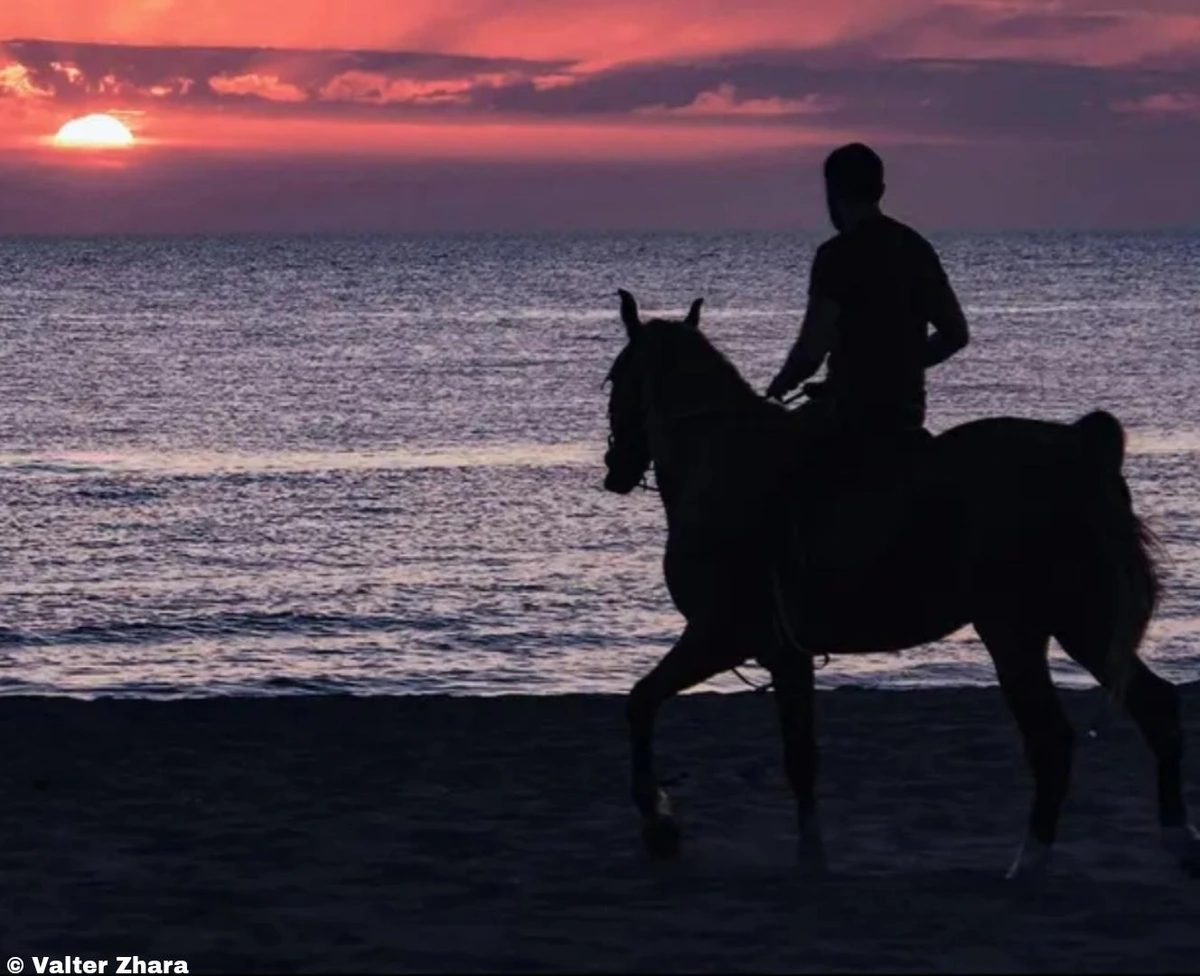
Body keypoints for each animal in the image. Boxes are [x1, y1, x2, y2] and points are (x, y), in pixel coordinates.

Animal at [602, 288, 1200, 879]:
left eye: (613, 378)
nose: (615, 466)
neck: (720, 462)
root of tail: (1082, 448)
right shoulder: (785, 655)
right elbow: (801, 756)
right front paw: (810, 855)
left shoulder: (721, 634)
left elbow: (642, 702)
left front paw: (660, 824)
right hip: (1081, 621)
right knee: (1154, 706)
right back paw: (1176, 842)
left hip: (1020, 628)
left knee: (1053, 738)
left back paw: (1030, 863)